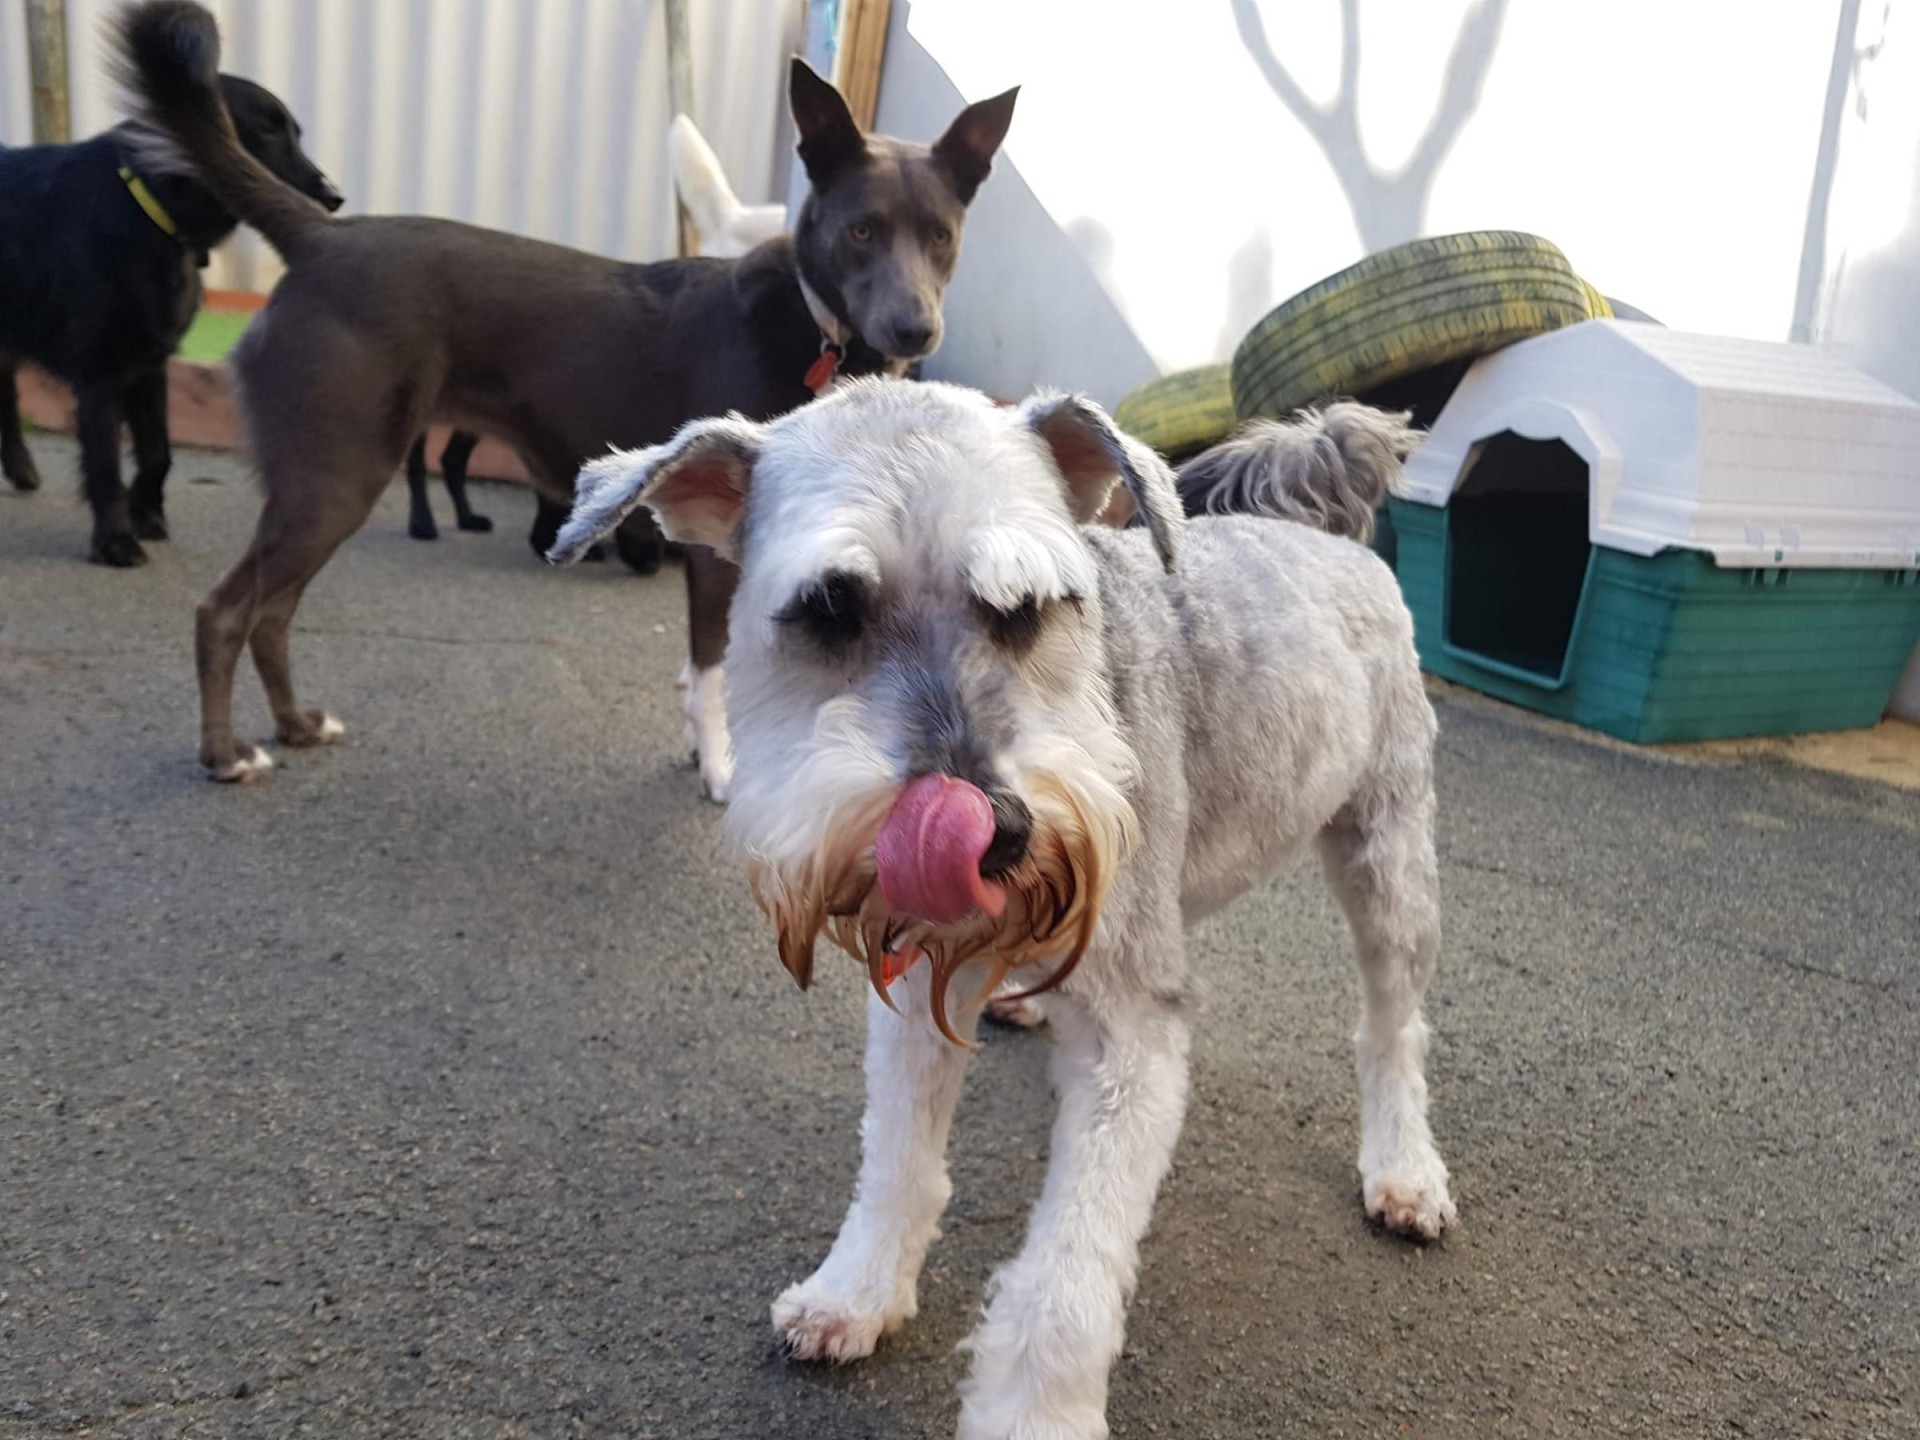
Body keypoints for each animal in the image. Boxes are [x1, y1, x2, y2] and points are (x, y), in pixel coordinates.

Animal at [0, 76, 339, 565]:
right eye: (267, 130)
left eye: (294, 132)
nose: (334, 197)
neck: (146, 209)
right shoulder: (100, 373)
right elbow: (105, 464)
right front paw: (115, 540)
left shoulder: (150, 362)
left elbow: (158, 451)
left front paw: (146, 514)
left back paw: (21, 468)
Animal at [117, 0, 1015, 785]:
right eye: (862, 230)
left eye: (941, 237)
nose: (915, 329)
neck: (812, 321)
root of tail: (318, 234)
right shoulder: (718, 556)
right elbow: (716, 672)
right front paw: (721, 768)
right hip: (333, 479)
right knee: (225, 613)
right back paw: (225, 755)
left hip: (325, 489)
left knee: (270, 614)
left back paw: (297, 726)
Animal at [549, 379, 1455, 1437]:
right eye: (828, 607)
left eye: (1032, 606)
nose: (994, 834)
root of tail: (1333, 536)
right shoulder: (911, 982)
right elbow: (896, 1163)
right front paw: (855, 1293)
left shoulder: (1133, 1037)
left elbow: (1068, 1269)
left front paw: (1034, 1413)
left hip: (1388, 859)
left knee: (1392, 1027)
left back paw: (1404, 1168)